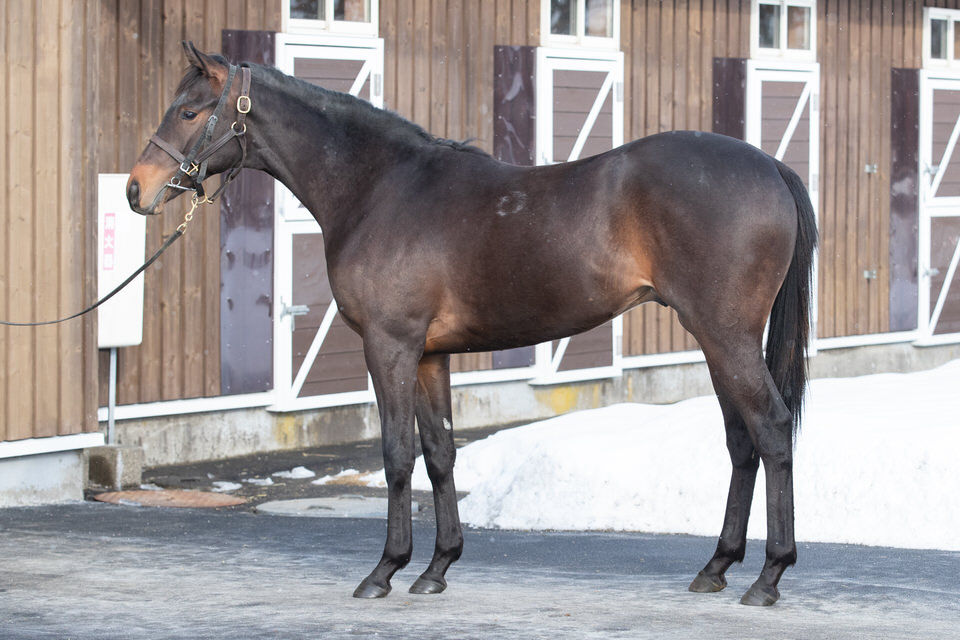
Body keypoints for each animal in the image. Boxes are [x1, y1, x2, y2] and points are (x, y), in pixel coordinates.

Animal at [128, 42, 817, 607]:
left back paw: (768, 577)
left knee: (772, 428)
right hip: (717, 340)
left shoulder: (390, 347)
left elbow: (397, 454)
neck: (380, 189)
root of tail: (769, 167)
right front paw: (437, 568)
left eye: (189, 111)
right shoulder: (430, 355)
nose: (136, 189)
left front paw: (385, 570)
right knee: (741, 441)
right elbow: (439, 454)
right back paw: (717, 567)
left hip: (725, 336)